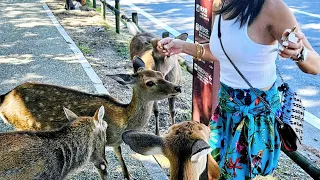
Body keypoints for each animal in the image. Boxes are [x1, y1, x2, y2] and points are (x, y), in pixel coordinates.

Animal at [0, 56, 181, 180]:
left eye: (160, 73)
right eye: (150, 82)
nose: (178, 87)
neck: (124, 121)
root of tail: (5, 98)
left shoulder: (115, 143)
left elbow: (122, 162)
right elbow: (103, 168)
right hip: (24, 125)